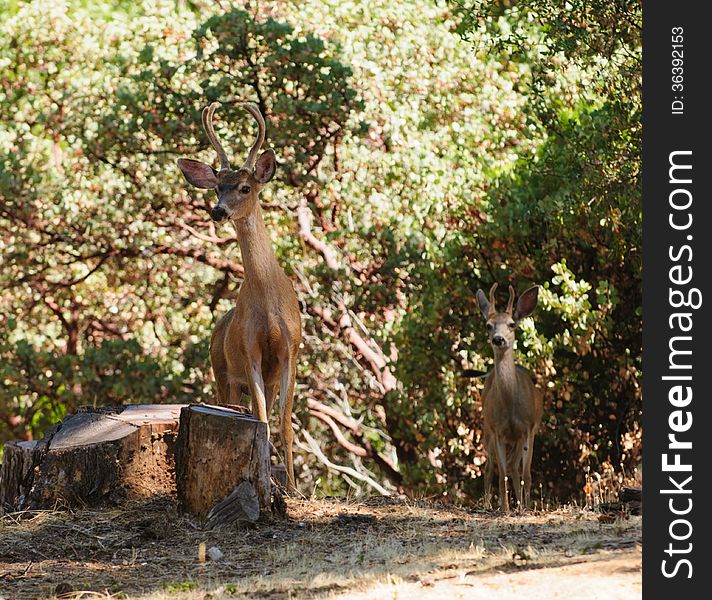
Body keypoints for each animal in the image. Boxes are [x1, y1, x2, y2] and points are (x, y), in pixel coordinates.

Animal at [478, 284, 544, 508]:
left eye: (512, 324)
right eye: (488, 325)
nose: (498, 339)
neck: (511, 408)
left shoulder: (529, 428)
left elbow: (527, 474)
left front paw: (527, 507)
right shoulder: (498, 430)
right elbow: (501, 475)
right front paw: (505, 508)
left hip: (516, 439)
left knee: (515, 468)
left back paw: (521, 505)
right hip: (488, 431)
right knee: (490, 469)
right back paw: (488, 504)